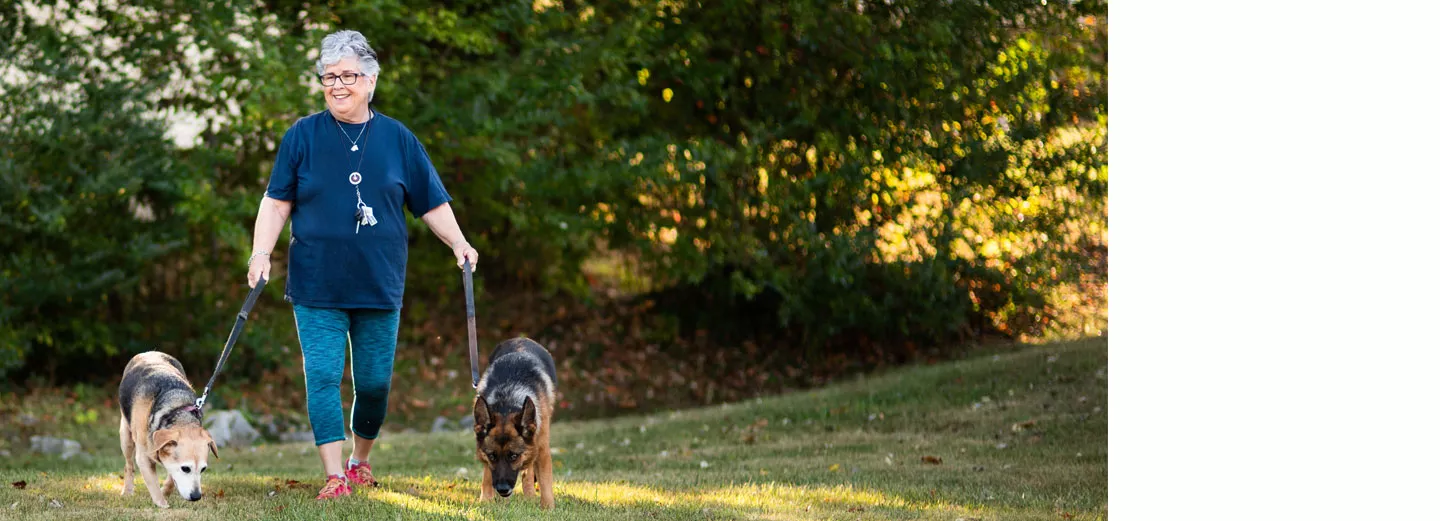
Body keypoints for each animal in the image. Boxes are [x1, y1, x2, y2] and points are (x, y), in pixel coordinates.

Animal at [116, 352, 216, 506]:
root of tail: (150, 352)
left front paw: (166, 491)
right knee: (129, 465)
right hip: (126, 437)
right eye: (185, 468)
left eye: (203, 469)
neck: (175, 412)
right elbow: (153, 485)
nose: (196, 497)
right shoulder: (143, 457)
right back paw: (127, 490)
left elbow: (171, 478)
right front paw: (162, 505)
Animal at [475, 338, 558, 509]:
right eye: (492, 456)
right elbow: (487, 474)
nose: (502, 489)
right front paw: (486, 500)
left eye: (514, 456)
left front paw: (548, 508)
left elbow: (545, 482)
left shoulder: (542, 449)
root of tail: (521, 339)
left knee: (529, 470)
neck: (507, 401)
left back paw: (530, 495)